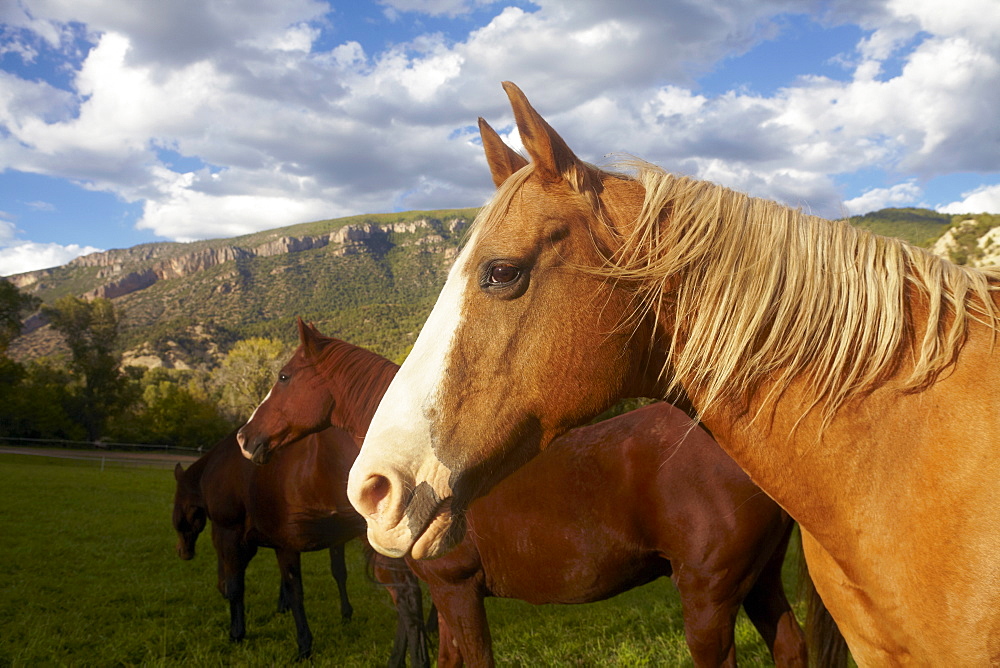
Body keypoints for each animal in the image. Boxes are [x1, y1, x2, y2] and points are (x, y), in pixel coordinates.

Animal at [173, 426, 430, 664]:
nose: (183, 552)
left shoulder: (230, 533)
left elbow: (247, 587)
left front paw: (240, 634)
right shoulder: (282, 543)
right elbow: (295, 587)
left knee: (407, 600)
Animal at [238, 320, 816, 664]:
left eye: (284, 376)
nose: (246, 438)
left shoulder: (458, 591)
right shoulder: (445, 598)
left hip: (709, 598)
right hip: (759, 583)